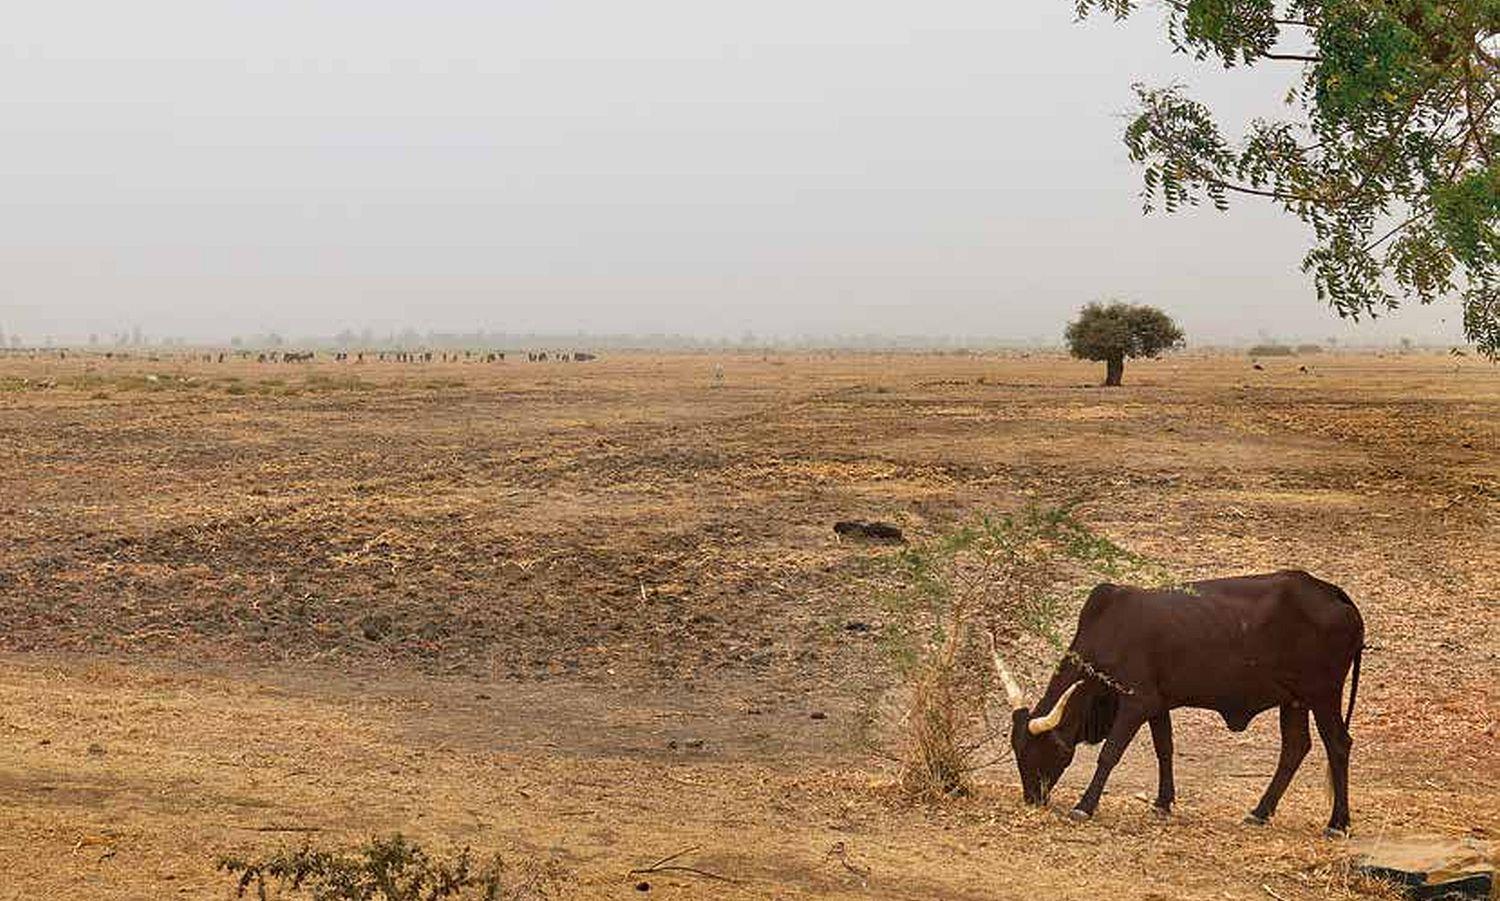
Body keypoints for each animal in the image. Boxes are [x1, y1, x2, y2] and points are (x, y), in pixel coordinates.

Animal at [990, 569, 1368, 833]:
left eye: (1045, 750)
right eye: (1017, 750)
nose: (1032, 798)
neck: (1109, 629)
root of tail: (1330, 591)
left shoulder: (1136, 703)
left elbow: (1110, 754)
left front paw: (1085, 804)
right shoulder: (1158, 704)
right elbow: (1165, 749)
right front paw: (1162, 802)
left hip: (1323, 693)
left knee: (1338, 744)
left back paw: (1337, 823)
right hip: (1294, 700)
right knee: (1295, 748)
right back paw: (1260, 812)